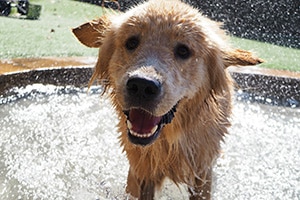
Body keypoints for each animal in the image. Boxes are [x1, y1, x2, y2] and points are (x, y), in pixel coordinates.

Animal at [72, 0, 262, 199]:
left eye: (183, 50)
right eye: (131, 42)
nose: (142, 86)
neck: (169, 142)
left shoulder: (202, 167)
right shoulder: (141, 167)